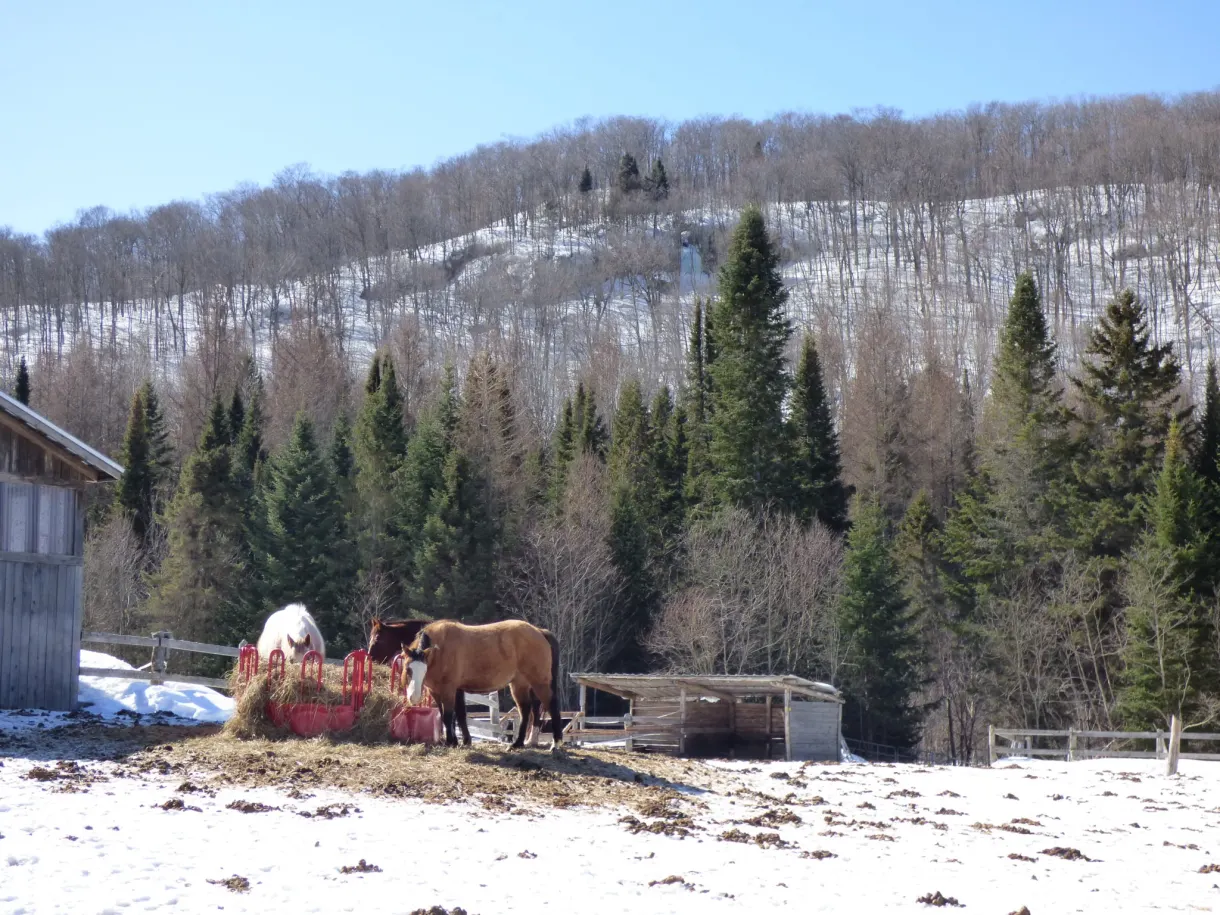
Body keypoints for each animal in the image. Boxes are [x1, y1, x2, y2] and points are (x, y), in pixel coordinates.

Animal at [402, 619, 562, 750]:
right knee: (526, 710)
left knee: (551, 706)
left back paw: (555, 744)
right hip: (520, 684)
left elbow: (448, 716)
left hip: (539, 683)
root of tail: (539, 632)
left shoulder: (449, 689)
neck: (441, 648)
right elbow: (456, 714)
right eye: (408, 669)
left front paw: (451, 742)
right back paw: (518, 743)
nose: (413, 697)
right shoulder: (440, 690)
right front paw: (463, 741)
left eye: (424, 669)